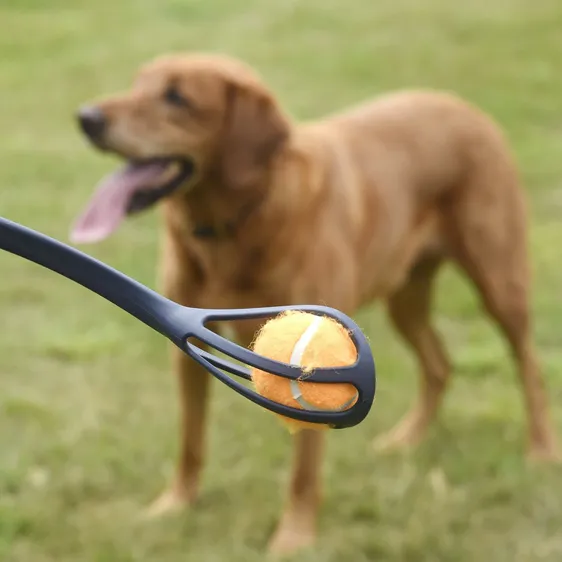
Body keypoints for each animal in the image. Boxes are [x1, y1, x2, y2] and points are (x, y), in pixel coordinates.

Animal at [70, 51, 556, 552]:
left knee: (529, 365)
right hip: (404, 296)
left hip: (500, 281)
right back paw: (406, 439)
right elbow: (191, 439)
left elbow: (303, 469)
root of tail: (459, 104)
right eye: (138, 84)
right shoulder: (185, 346)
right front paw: (175, 505)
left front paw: (294, 537)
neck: (234, 227)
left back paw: (540, 450)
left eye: (176, 97)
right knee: (439, 363)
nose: (87, 118)